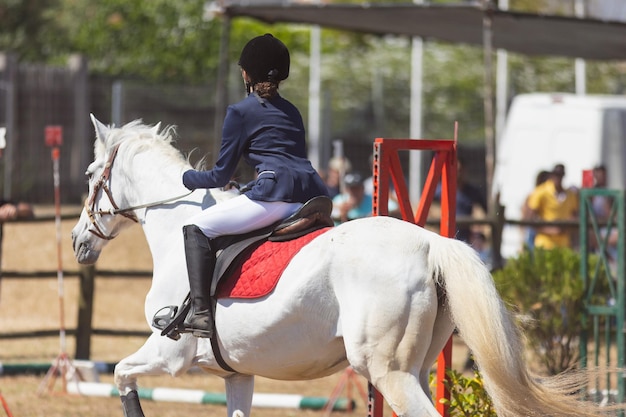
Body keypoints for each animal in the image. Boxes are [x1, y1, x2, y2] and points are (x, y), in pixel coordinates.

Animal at [72, 116, 604, 416]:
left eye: (91, 176)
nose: (78, 243)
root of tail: (431, 243)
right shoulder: (236, 375)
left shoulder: (169, 356)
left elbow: (121, 376)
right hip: (414, 367)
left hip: (388, 372)